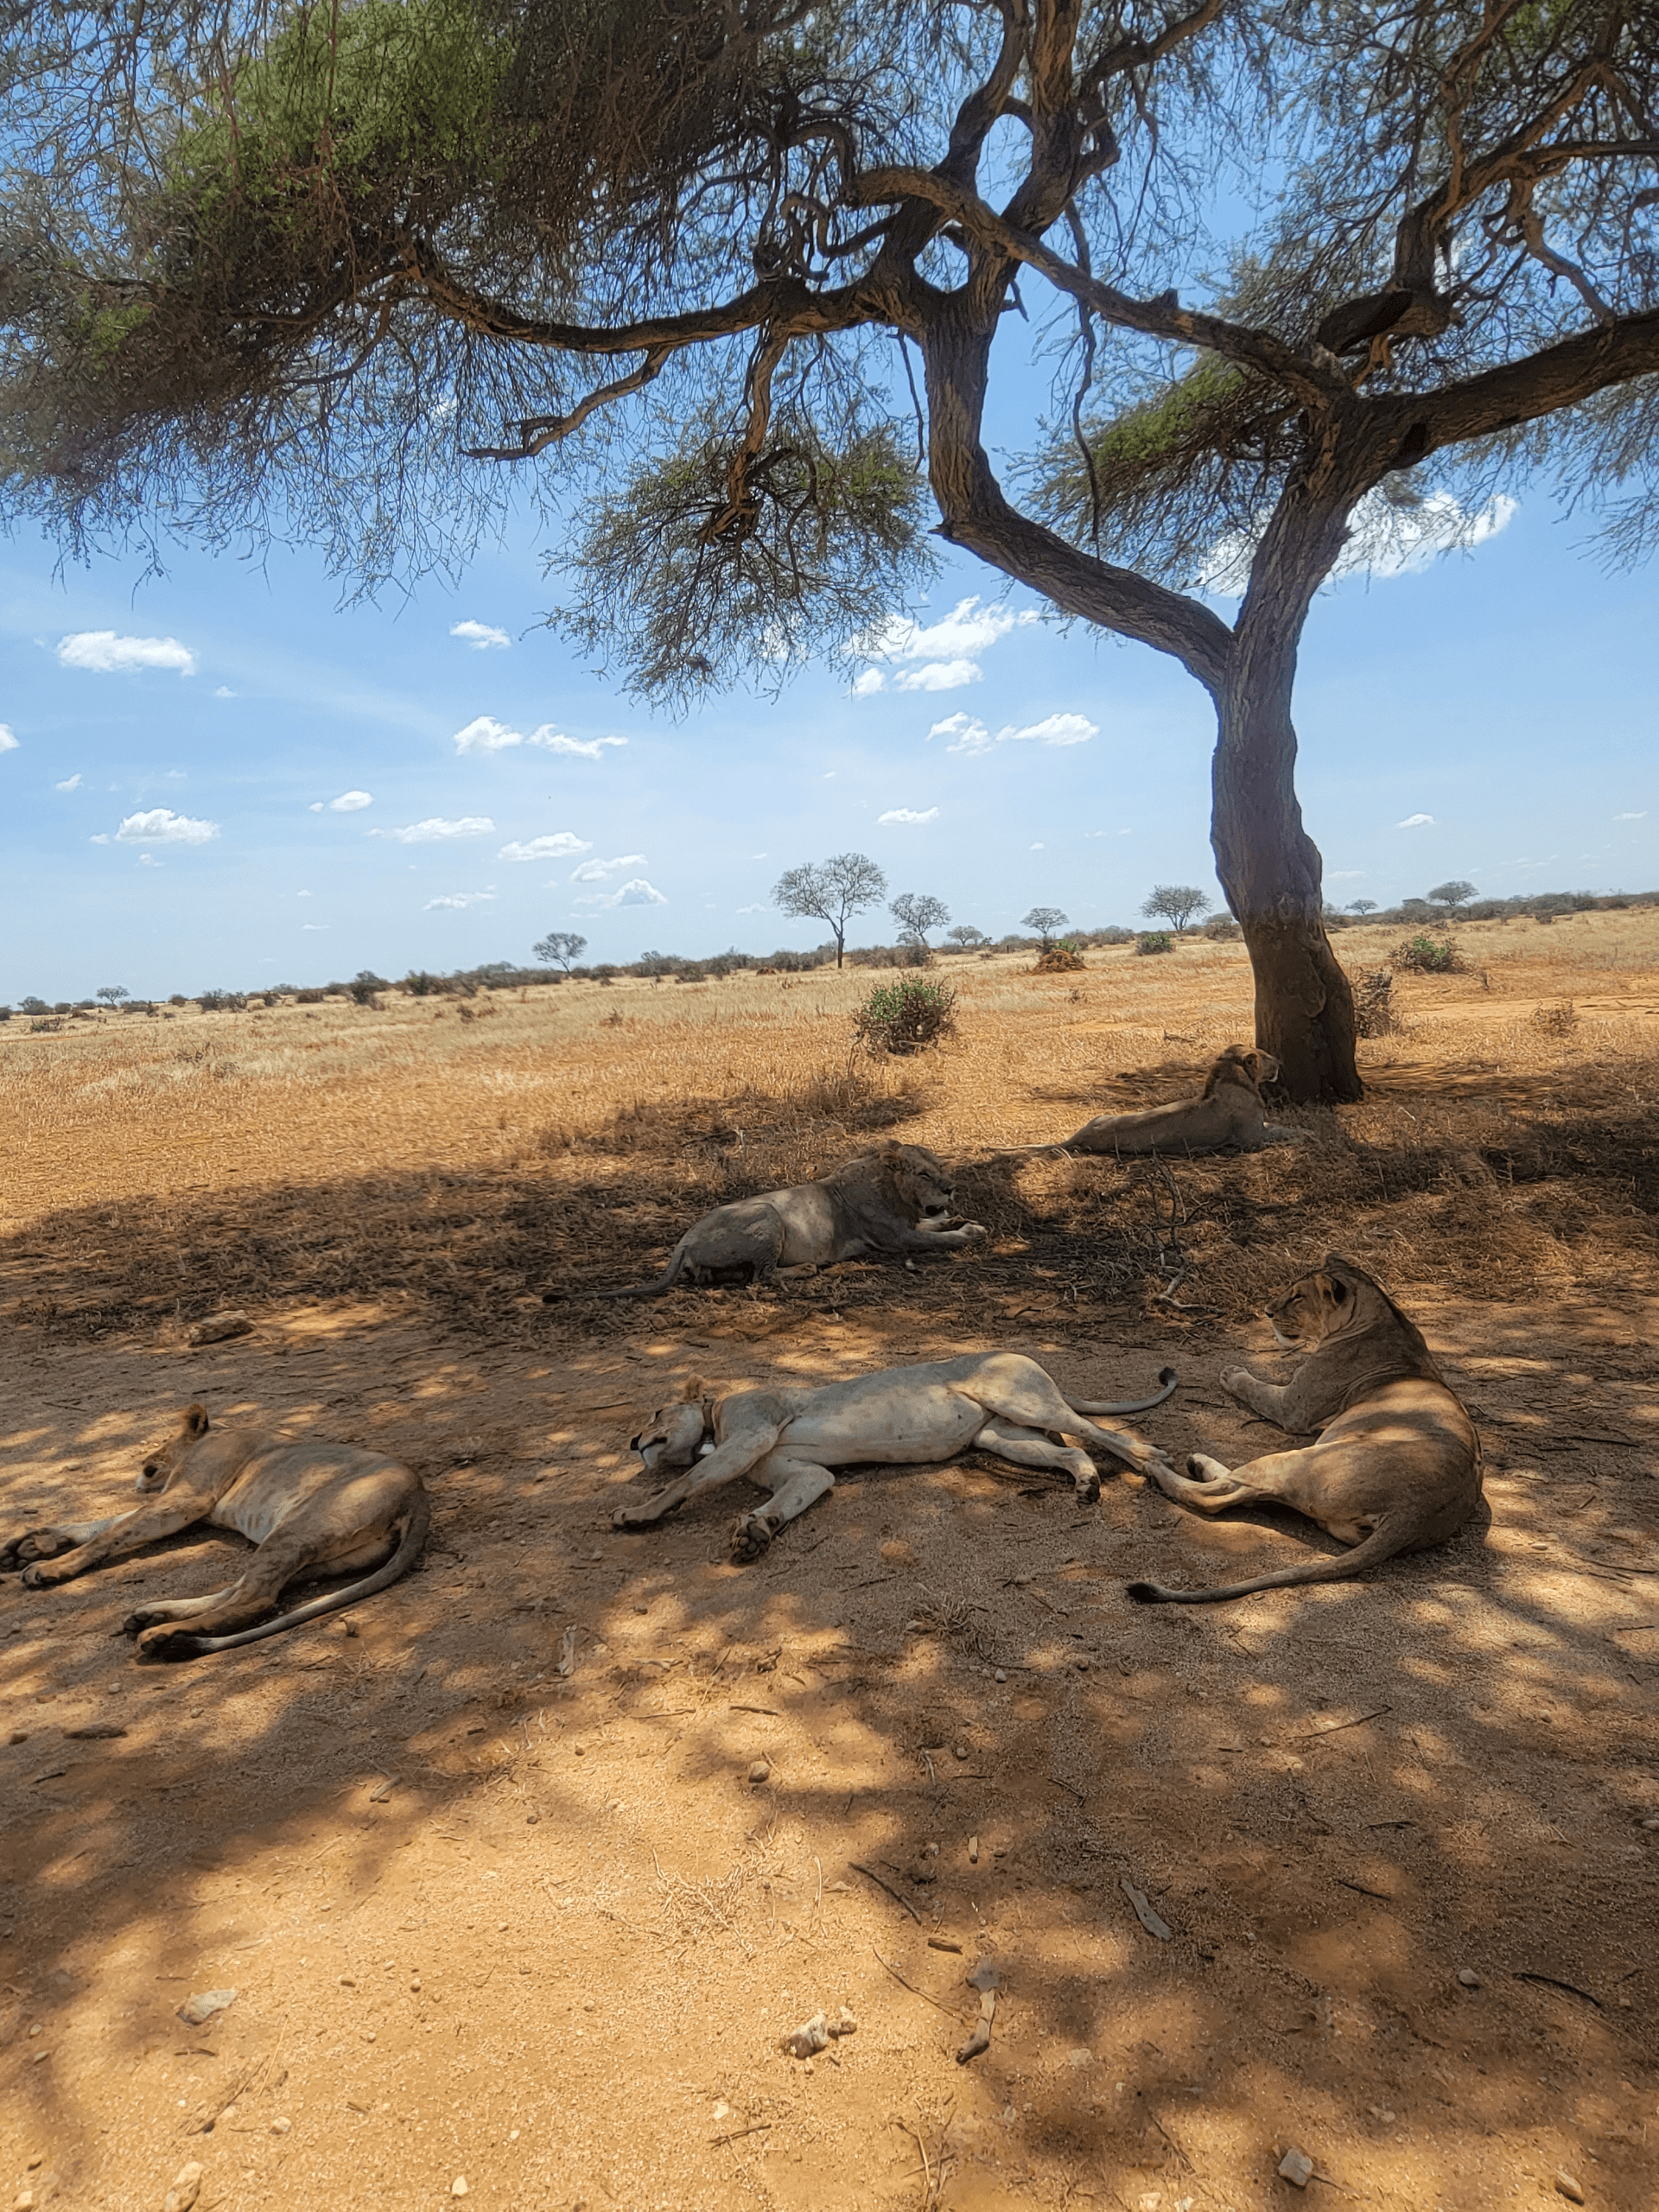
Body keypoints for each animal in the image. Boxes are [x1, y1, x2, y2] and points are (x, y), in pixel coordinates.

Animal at [0, 1403, 430, 1659]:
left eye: (160, 1449)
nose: (142, 1469)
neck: (214, 1434)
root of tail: (419, 1497)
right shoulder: (192, 1509)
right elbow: (105, 1524)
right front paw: (31, 1544)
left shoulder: (190, 1499)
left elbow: (112, 1532)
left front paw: (48, 1567)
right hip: (318, 1552)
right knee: (242, 1590)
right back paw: (152, 1615)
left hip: (299, 1527)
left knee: (256, 1600)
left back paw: (164, 1635)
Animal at [556, 1142, 986, 1301]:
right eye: (924, 1174)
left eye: (940, 1166)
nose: (951, 1188)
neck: (894, 1191)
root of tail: (684, 1242)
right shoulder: (896, 1238)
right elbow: (942, 1239)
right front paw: (971, 1232)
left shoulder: (908, 1225)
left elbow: (937, 1226)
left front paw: (967, 1220)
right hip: (767, 1213)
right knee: (760, 1277)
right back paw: (807, 1269)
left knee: (735, 1277)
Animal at [615, 1354, 1178, 1558]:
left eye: (657, 1412)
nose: (633, 1441)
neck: (713, 1422)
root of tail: (1031, 1360)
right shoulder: (806, 1474)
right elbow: (794, 1495)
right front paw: (757, 1531)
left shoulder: (751, 1432)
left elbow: (686, 1481)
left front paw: (637, 1513)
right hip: (1000, 1436)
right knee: (1068, 1451)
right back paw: (1087, 1485)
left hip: (1020, 1398)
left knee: (1100, 1433)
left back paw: (1153, 1460)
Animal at [1014, 1048, 1309, 1157]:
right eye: (1265, 1056)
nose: (1280, 1061)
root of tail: (1079, 1136)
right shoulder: (1251, 1140)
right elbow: (1283, 1132)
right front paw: (1306, 1134)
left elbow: (1281, 1127)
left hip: (1101, 1115)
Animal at [1125, 1253, 1481, 1604]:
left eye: (1298, 1297)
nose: (1267, 1312)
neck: (1383, 1315)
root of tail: (1414, 1511)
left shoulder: (1293, 1408)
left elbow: (1258, 1389)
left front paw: (1232, 1373)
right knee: (1250, 1494)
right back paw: (1197, 1464)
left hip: (1300, 1460)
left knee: (1217, 1497)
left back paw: (1158, 1466)